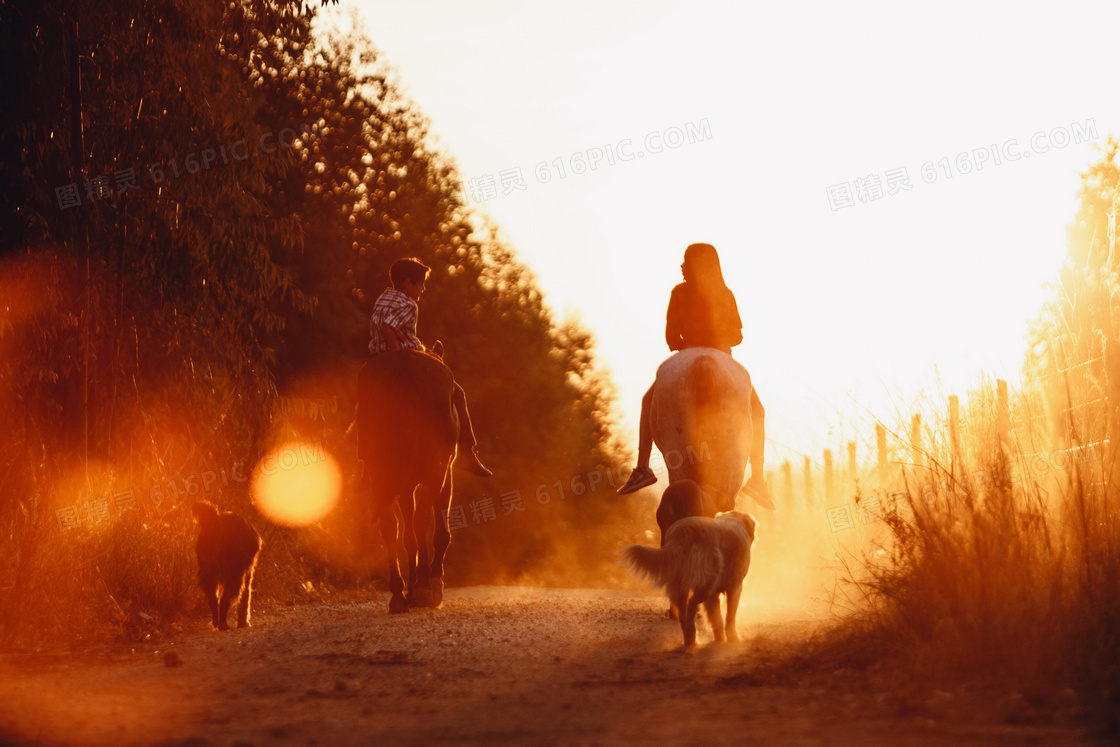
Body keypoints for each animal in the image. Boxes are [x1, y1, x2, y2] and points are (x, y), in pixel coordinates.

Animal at [193, 501, 263, 631]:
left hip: (209, 571)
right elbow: (245, 597)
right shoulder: (247, 570)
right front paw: (243, 622)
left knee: (213, 598)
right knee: (224, 599)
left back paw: (216, 621)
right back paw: (223, 624)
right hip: (233, 573)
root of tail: (216, 521)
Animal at [360, 351, 461, 613]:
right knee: (421, 520)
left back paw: (398, 594)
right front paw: (431, 582)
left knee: (389, 526)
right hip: (433, 472)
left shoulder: (405, 487)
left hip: (380, 472)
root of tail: (402, 364)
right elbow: (437, 529)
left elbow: (407, 537)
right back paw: (424, 587)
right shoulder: (444, 473)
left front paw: (412, 586)